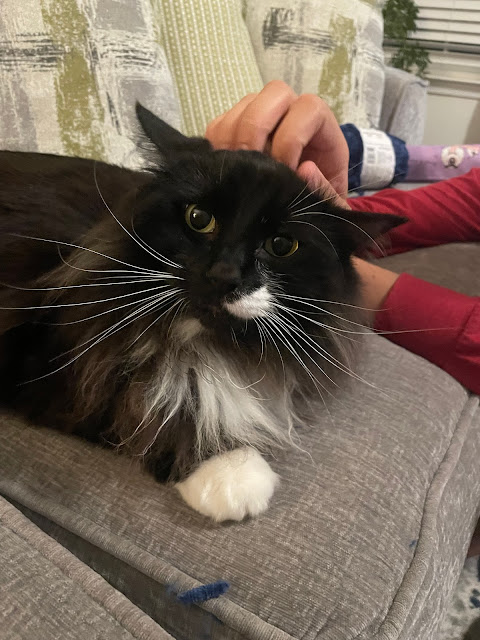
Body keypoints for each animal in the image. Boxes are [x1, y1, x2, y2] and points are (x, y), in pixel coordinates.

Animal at [0, 105, 404, 520]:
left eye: (281, 245)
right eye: (198, 218)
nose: (224, 275)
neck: (198, 339)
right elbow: (136, 403)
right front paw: (230, 470)